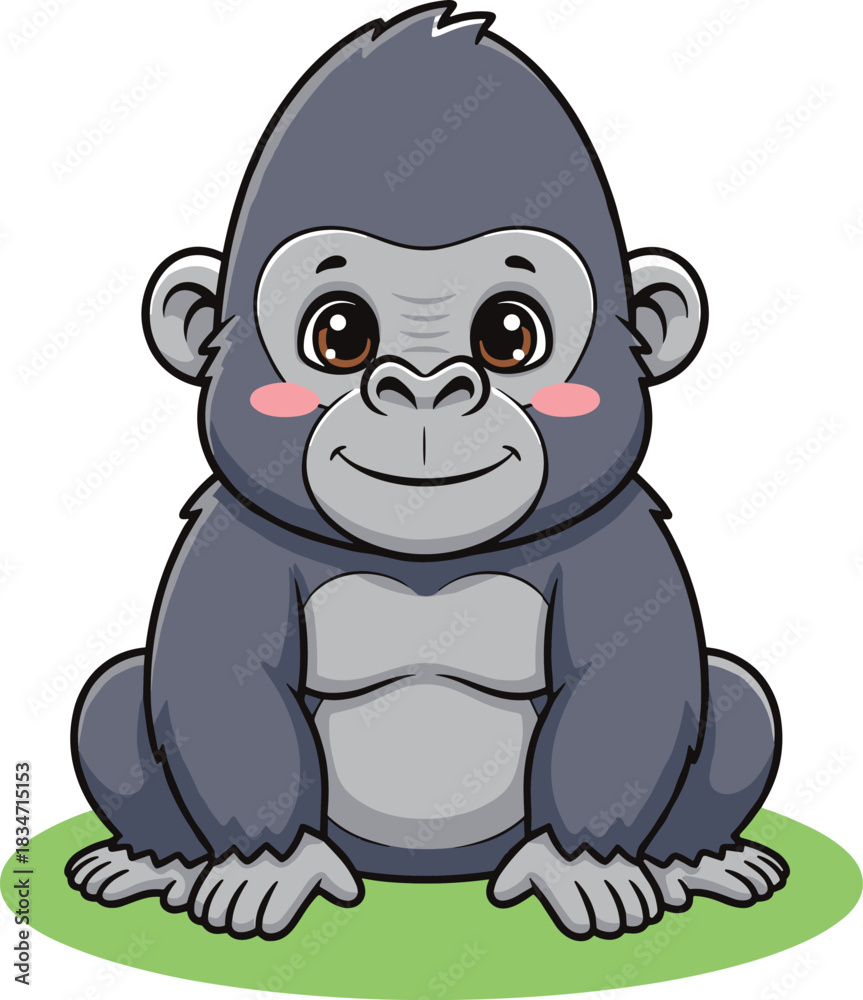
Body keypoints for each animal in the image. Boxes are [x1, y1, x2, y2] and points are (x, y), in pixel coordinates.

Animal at [66, 3, 788, 941]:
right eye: (339, 334)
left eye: (509, 334)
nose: (421, 387)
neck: (423, 564)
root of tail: (426, 875)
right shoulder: (231, 538)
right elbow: (219, 684)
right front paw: (270, 867)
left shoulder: (619, 538)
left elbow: (628, 684)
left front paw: (580, 867)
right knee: (114, 696)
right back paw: (152, 861)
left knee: (736, 696)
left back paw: (698, 860)